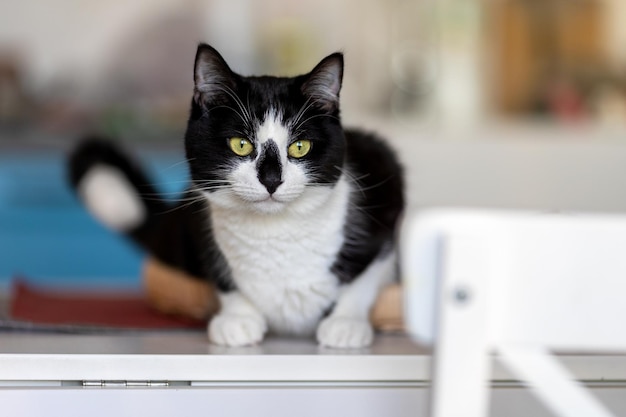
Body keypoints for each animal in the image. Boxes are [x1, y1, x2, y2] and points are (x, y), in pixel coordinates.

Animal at [66, 43, 402, 348]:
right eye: (240, 144)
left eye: (299, 147)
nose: (271, 180)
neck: (275, 234)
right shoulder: (200, 224)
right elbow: (222, 275)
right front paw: (238, 318)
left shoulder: (385, 177)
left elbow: (365, 278)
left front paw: (345, 323)